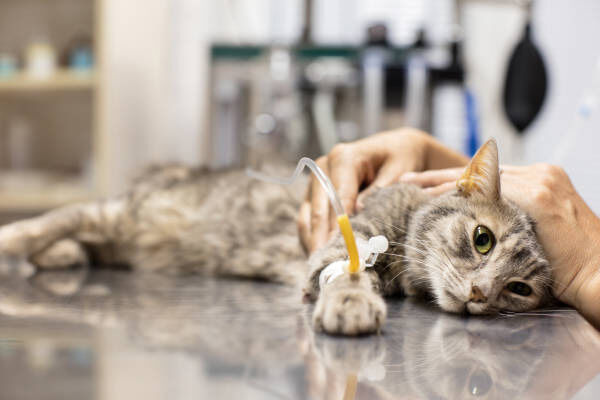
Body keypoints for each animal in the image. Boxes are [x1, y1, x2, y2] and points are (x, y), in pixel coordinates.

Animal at [0, 139, 552, 336]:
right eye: (482, 239)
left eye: (519, 289)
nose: (480, 294)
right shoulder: (346, 243)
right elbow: (349, 275)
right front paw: (352, 304)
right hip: (124, 213)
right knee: (56, 220)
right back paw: (22, 240)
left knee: (84, 237)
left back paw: (64, 255)